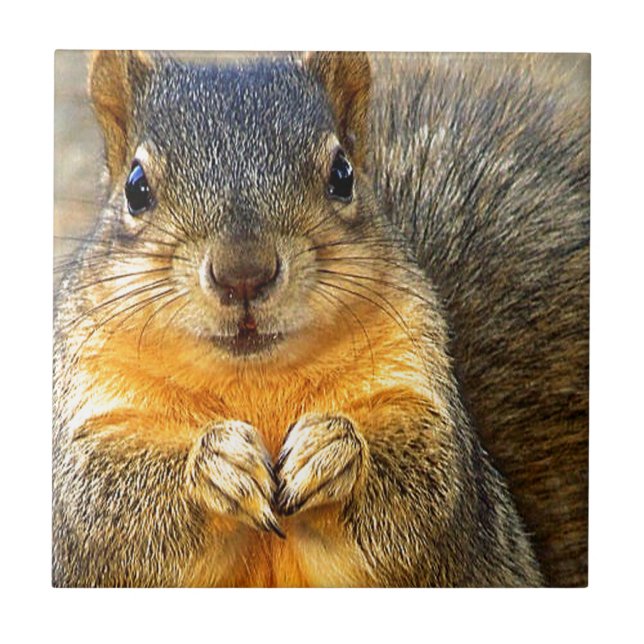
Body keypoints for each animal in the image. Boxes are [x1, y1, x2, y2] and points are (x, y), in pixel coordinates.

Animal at [53, 50, 588, 587]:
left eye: (343, 174)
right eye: (136, 188)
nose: (243, 273)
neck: (254, 379)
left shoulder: (426, 408)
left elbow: (429, 493)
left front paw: (333, 449)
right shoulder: (89, 429)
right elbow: (100, 508)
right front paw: (215, 462)